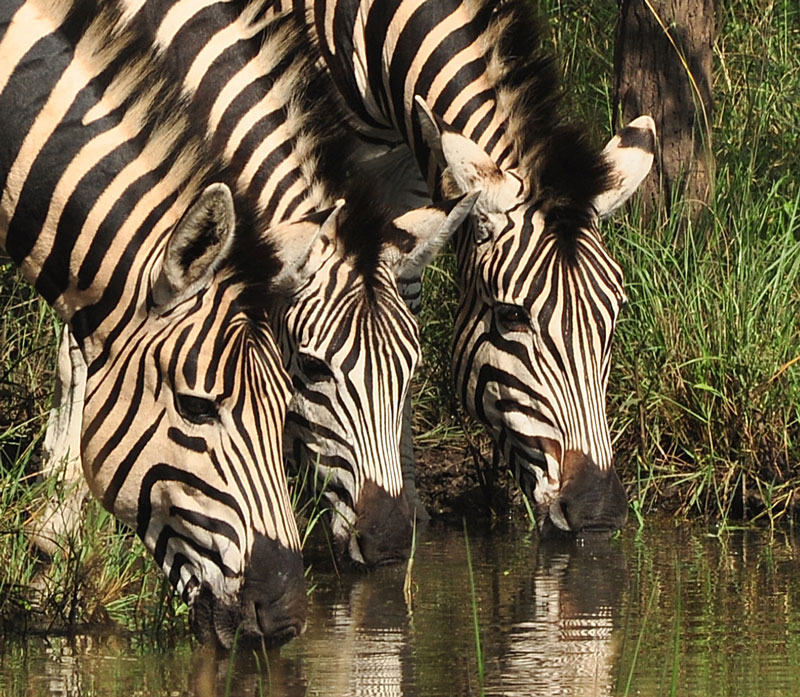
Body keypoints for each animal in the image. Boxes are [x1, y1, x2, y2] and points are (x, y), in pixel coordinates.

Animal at [264, 0, 656, 534]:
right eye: (512, 315)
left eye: (614, 312)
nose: (596, 512)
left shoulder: (400, 167)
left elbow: (396, 298)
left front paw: (406, 501)